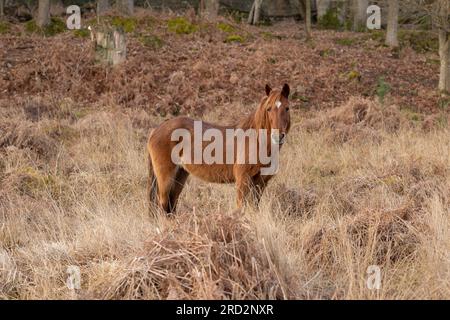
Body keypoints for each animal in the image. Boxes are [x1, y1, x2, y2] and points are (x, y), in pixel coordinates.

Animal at [146, 84, 290, 215]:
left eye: (287, 108)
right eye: (269, 108)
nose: (278, 136)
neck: (257, 140)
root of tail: (156, 129)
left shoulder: (260, 182)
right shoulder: (243, 180)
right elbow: (241, 207)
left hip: (180, 175)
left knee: (171, 205)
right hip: (166, 178)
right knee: (163, 204)